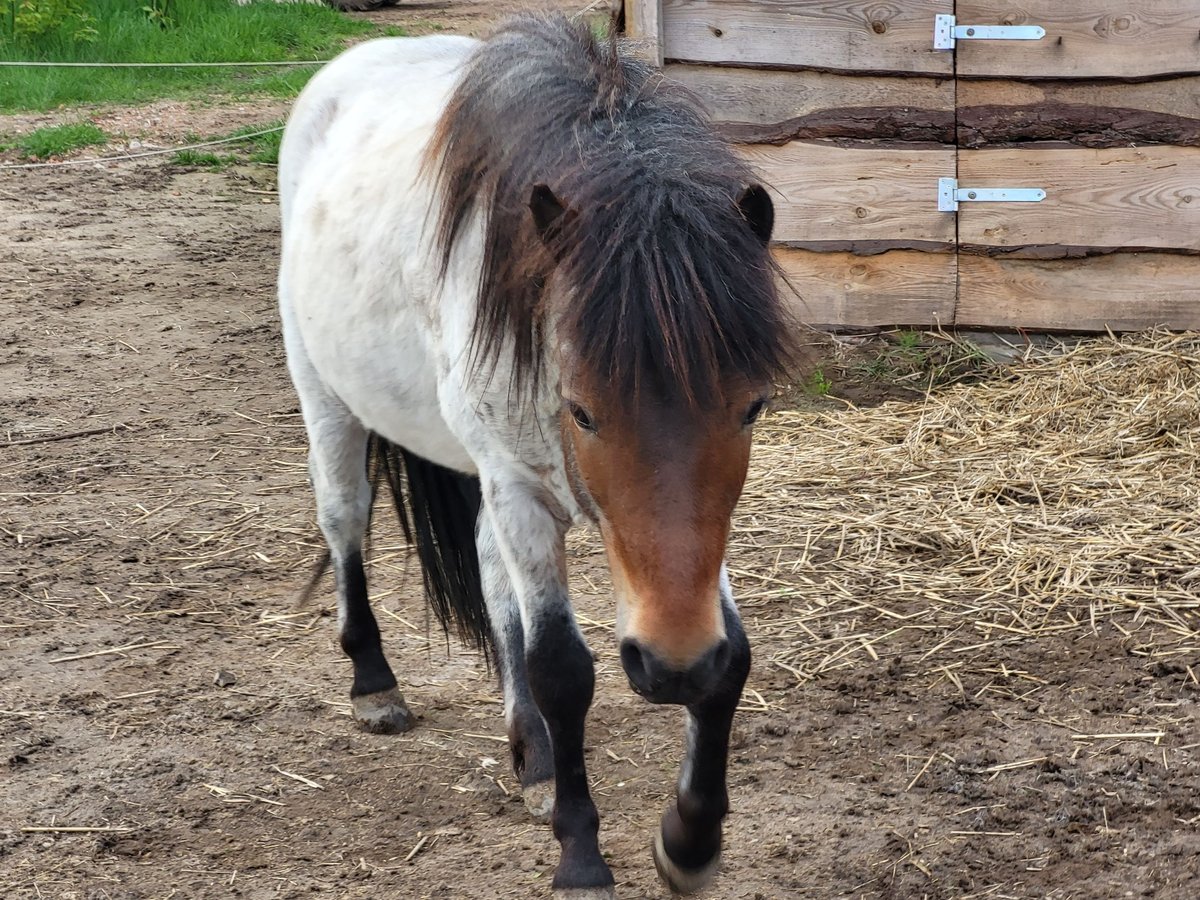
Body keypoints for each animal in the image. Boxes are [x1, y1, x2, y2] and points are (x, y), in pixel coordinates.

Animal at [276, 15, 792, 900]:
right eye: (581, 409)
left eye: (751, 406)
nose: (671, 666)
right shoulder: (519, 487)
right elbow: (561, 668)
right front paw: (581, 854)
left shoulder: (682, 551)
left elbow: (733, 657)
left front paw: (689, 841)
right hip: (329, 399)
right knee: (345, 522)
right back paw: (375, 684)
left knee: (487, 570)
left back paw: (536, 756)